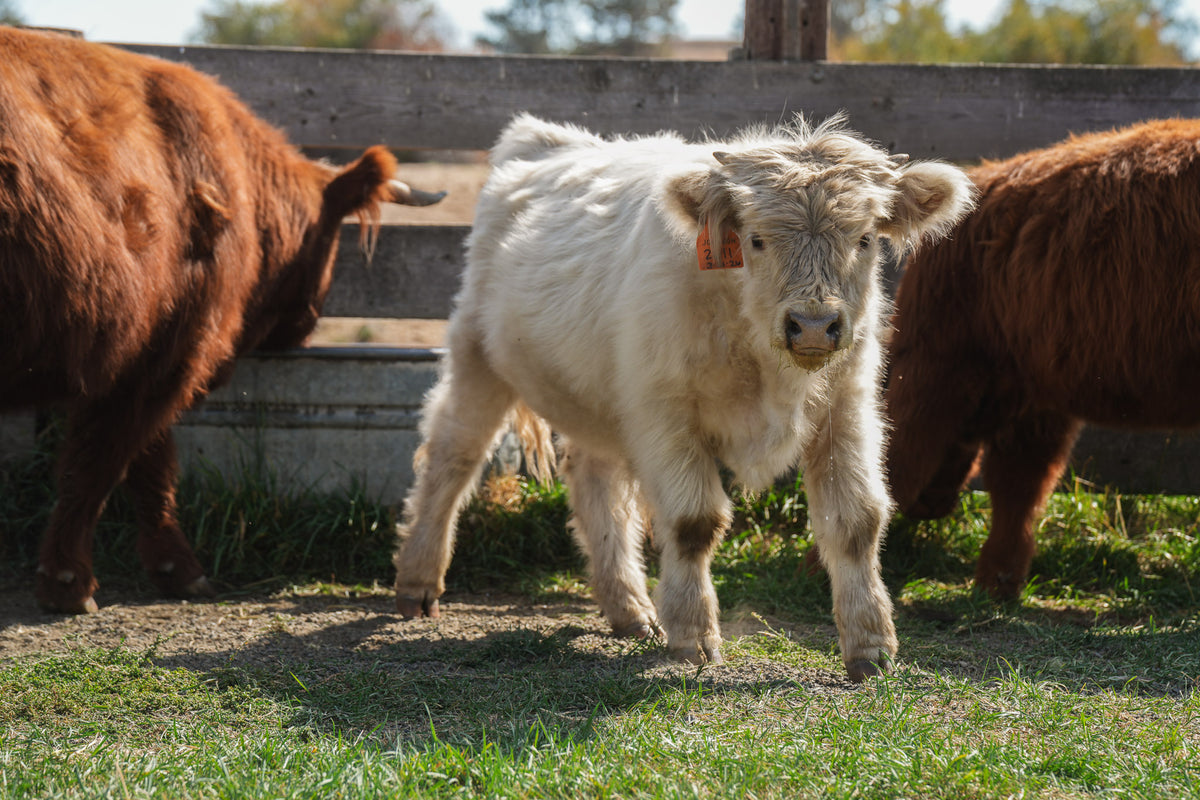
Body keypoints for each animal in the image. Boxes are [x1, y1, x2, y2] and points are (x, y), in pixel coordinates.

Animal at [0, 27, 443, 614]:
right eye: (331, 236)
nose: (308, 322)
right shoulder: (173, 349)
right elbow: (101, 463)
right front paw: (70, 582)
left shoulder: (149, 355)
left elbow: (145, 464)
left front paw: (172, 569)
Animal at [392, 113, 974, 680]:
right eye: (756, 239)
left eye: (865, 239)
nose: (812, 326)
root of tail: (544, 139)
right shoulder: (666, 412)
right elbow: (695, 523)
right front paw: (694, 638)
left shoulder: (847, 408)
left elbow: (856, 521)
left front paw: (871, 645)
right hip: (478, 357)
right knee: (452, 456)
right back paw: (417, 582)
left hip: (603, 400)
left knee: (593, 479)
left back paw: (629, 609)